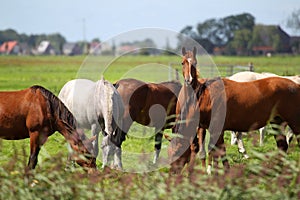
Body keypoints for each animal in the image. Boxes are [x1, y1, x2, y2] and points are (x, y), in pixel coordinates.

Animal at [169, 47, 300, 173]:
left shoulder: (217, 130)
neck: (206, 96)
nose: (172, 173)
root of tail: (296, 85)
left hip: (294, 123)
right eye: (182, 63)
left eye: (176, 153)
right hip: (277, 122)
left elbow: (218, 152)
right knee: (282, 146)